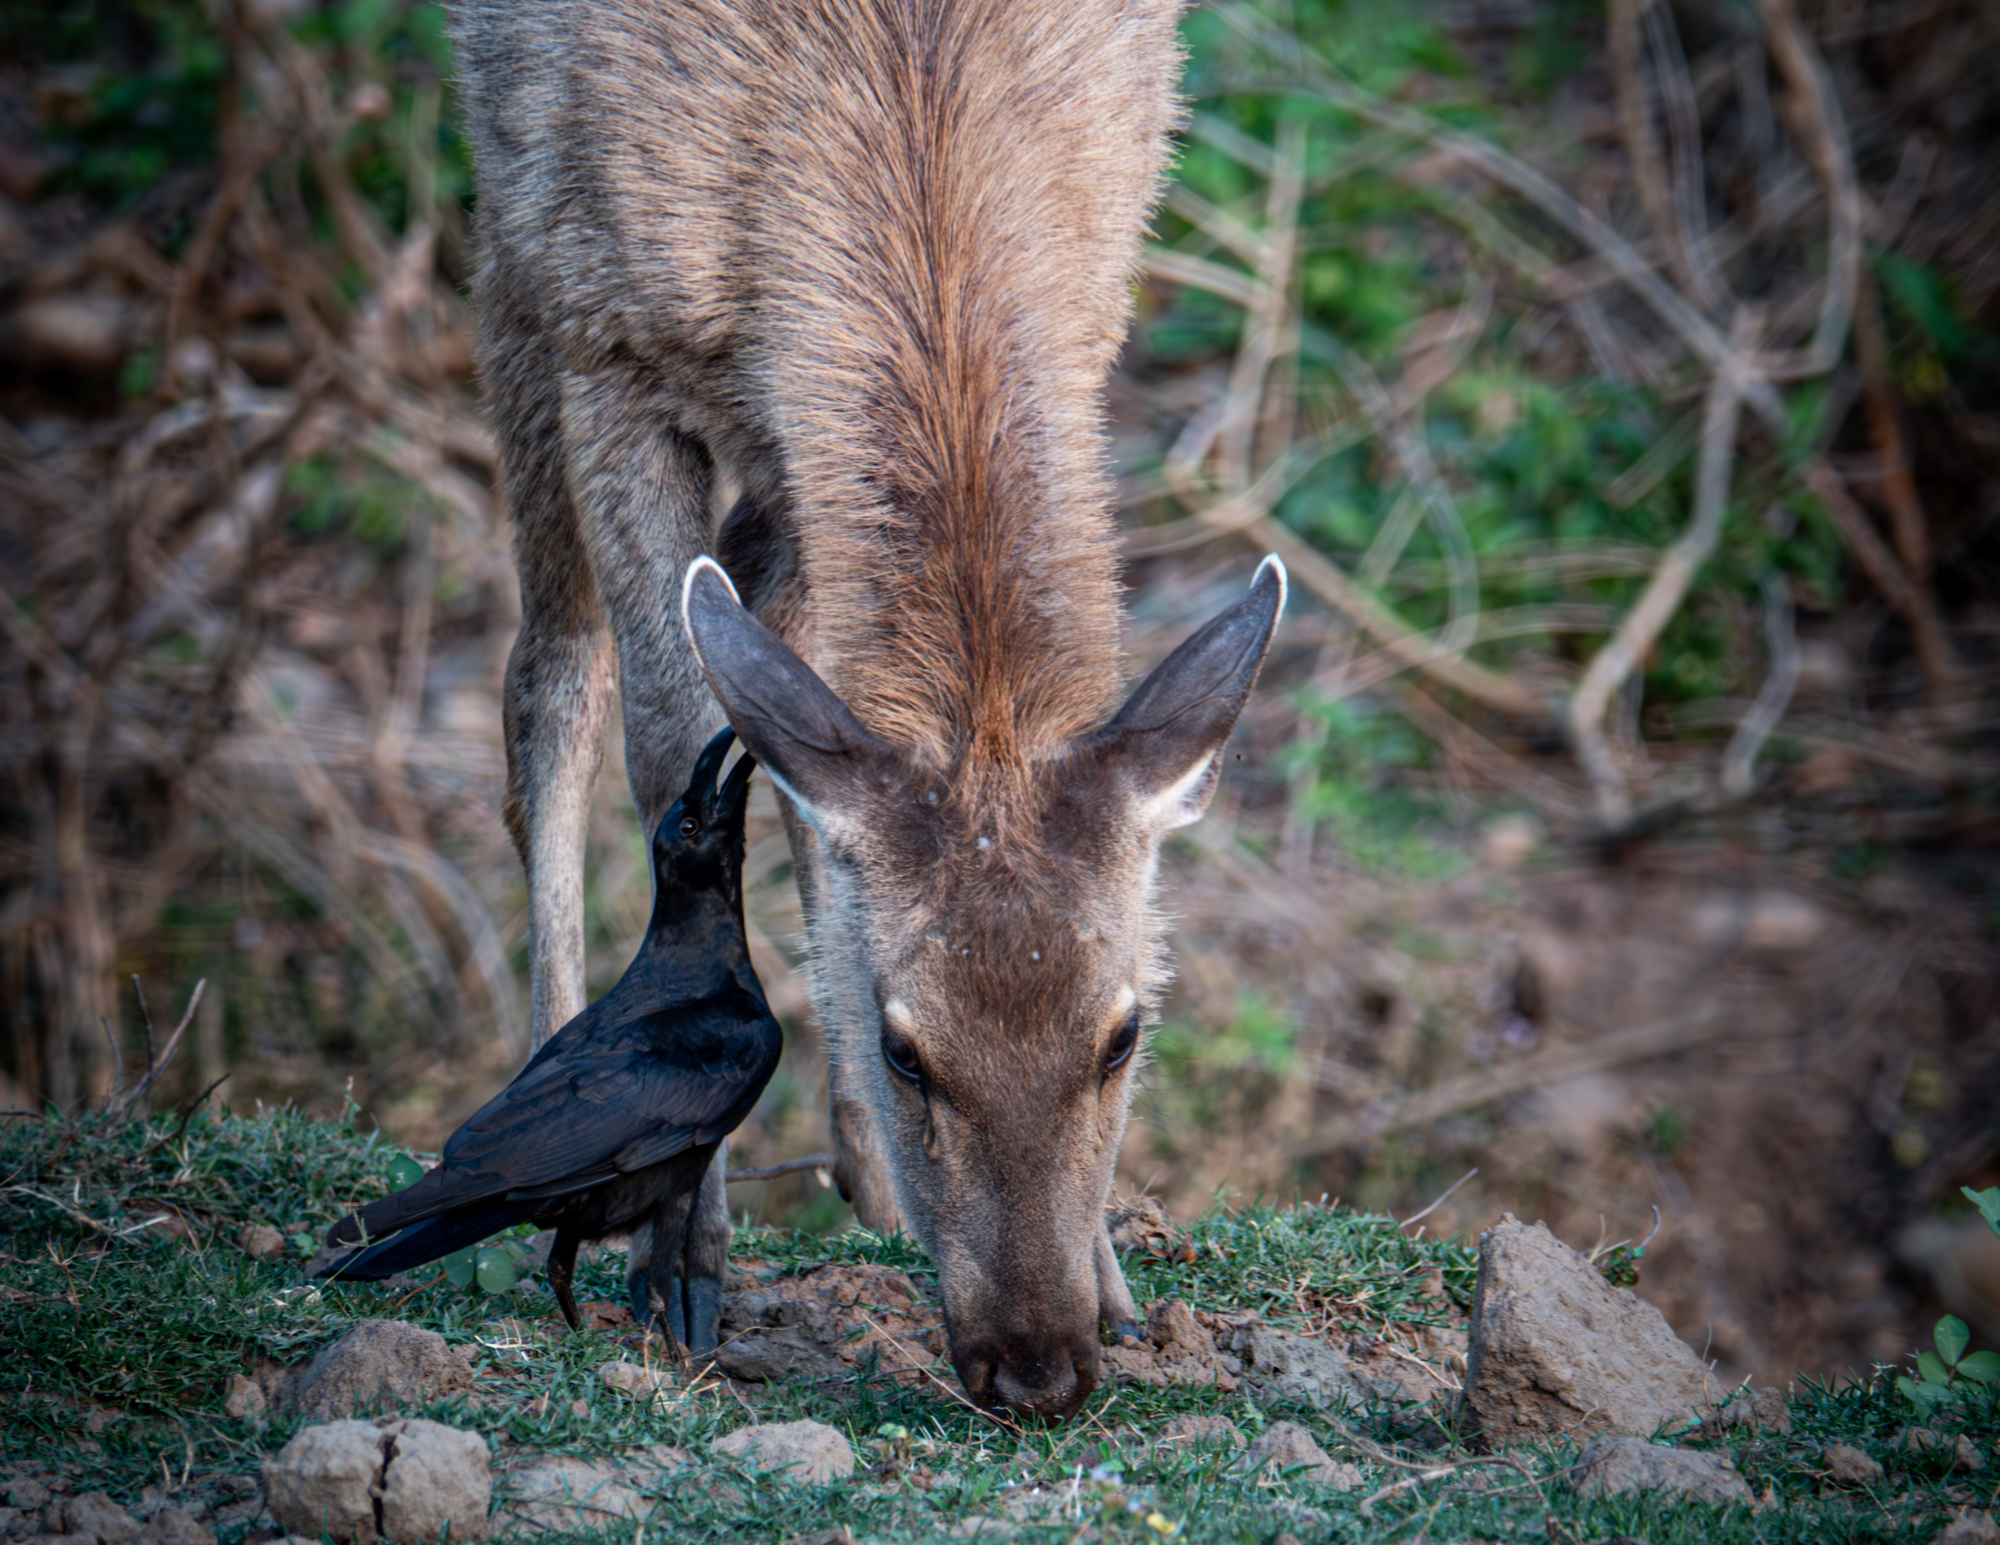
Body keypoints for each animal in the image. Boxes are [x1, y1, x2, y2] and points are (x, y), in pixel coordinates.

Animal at [451, 0, 1286, 1419]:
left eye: (1121, 1034)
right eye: (910, 1051)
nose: (1034, 1369)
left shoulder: (1091, 294)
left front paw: (1116, 1277)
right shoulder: (608, 323)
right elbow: (662, 743)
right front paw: (681, 1245)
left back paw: (853, 1169)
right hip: (514, 248)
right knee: (548, 680)